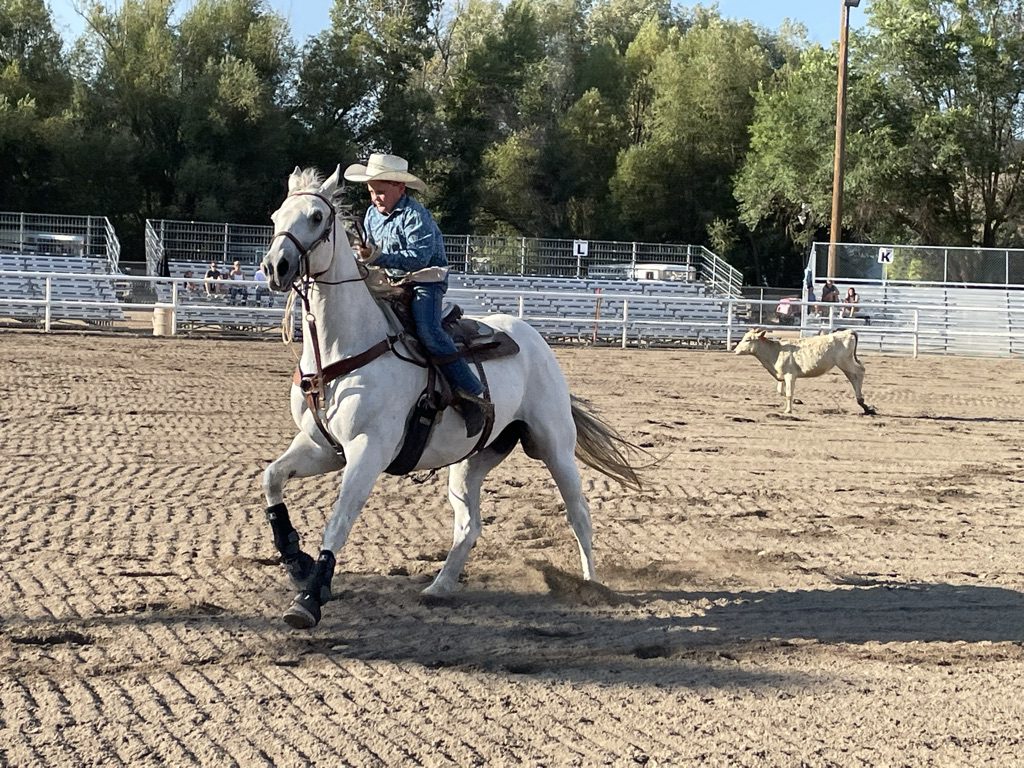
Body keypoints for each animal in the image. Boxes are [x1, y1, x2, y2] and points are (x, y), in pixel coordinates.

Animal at [260, 165, 638, 626]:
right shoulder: (323, 447)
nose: (275, 267)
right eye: (276, 216)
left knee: (578, 512)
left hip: (555, 446)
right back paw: (439, 587)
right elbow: (272, 479)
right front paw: (297, 564)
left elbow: (339, 522)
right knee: (469, 526)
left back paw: (591, 585)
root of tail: (532, 336)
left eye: (316, 216)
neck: (344, 348)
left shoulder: (368, 450)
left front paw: (309, 598)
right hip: (472, 460)